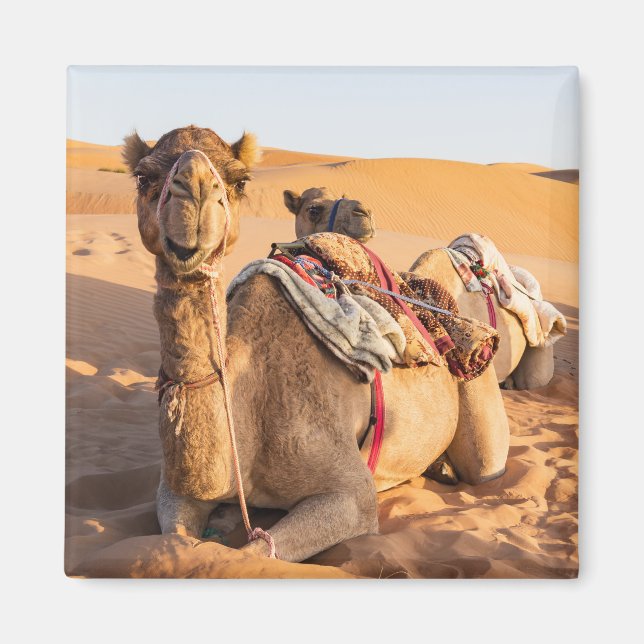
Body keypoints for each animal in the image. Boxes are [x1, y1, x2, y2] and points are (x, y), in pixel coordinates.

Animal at [124, 125, 510, 563]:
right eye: (143, 177)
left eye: (240, 180)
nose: (195, 193)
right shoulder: (174, 491)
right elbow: (178, 541)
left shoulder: (352, 495)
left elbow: (249, 554)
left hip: (479, 402)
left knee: (484, 464)